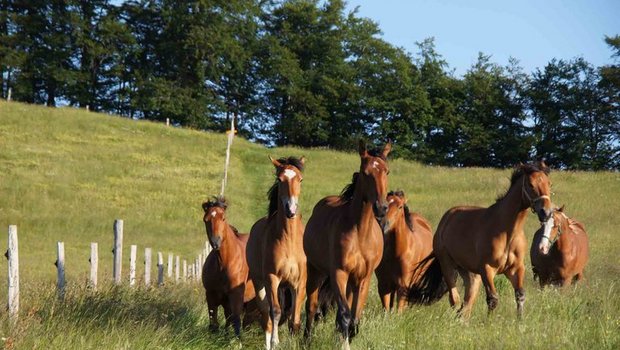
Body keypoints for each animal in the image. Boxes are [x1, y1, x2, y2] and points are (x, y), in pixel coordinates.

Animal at [200, 197, 256, 336]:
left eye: (223, 218)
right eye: (206, 219)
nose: (216, 242)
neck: (223, 264)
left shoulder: (236, 297)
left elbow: (236, 323)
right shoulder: (211, 295)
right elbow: (214, 324)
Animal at [246, 157, 306, 350]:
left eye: (300, 179)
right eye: (280, 180)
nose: (291, 210)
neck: (288, 241)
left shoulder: (299, 283)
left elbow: (294, 320)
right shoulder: (272, 278)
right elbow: (276, 312)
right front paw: (275, 341)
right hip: (260, 282)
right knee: (266, 312)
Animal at [302, 140, 390, 348]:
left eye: (387, 171)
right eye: (366, 172)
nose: (381, 208)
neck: (360, 234)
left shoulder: (364, 278)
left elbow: (354, 318)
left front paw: (346, 338)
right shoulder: (339, 273)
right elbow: (344, 314)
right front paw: (344, 344)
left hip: (351, 281)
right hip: (316, 271)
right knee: (311, 306)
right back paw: (306, 340)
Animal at [412, 163, 552, 318]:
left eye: (549, 184)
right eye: (530, 184)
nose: (546, 212)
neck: (507, 233)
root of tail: (446, 219)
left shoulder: (516, 269)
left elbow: (520, 295)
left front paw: (520, 321)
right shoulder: (487, 268)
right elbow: (492, 299)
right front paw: (489, 321)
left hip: (470, 273)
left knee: (466, 303)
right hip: (447, 265)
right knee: (455, 300)